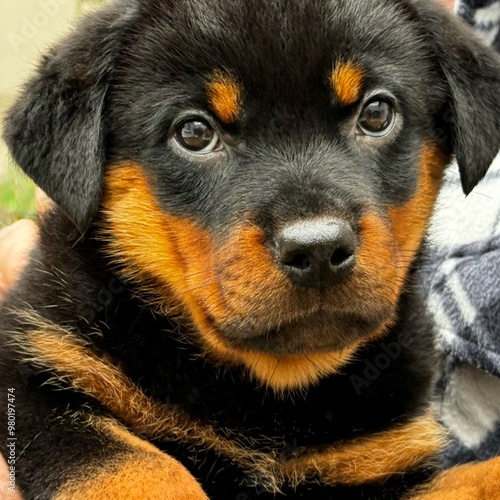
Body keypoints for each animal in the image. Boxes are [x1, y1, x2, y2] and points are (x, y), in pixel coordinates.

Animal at [0, 0, 500, 498]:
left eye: (377, 113)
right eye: (194, 133)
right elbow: (135, 465)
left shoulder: (381, 463)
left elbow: (475, 474)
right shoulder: (37, 367)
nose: (317, 250)